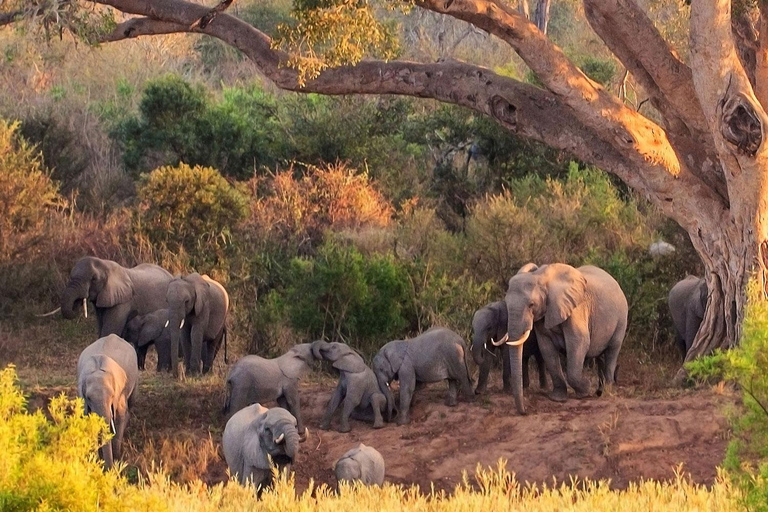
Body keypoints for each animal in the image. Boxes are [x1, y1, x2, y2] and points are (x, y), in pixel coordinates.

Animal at [78, 334, 140, 470]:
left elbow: (120, 415)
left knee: (131, 404)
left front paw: (117, 460)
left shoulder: (119, 393)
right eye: (88, 398)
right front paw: (94, 460)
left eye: (112, 396)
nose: (108, 468)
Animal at [498, 262, 632, 414]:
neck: (541, 277)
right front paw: (557, 398)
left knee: (612, 351)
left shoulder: (576, 309)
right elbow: (547, 348)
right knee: (600, 357)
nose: (525, 411)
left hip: (621, 318)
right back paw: (599, 391)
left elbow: (579, 342)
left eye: (531, 304)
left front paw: (585, 390)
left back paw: (605, 392)